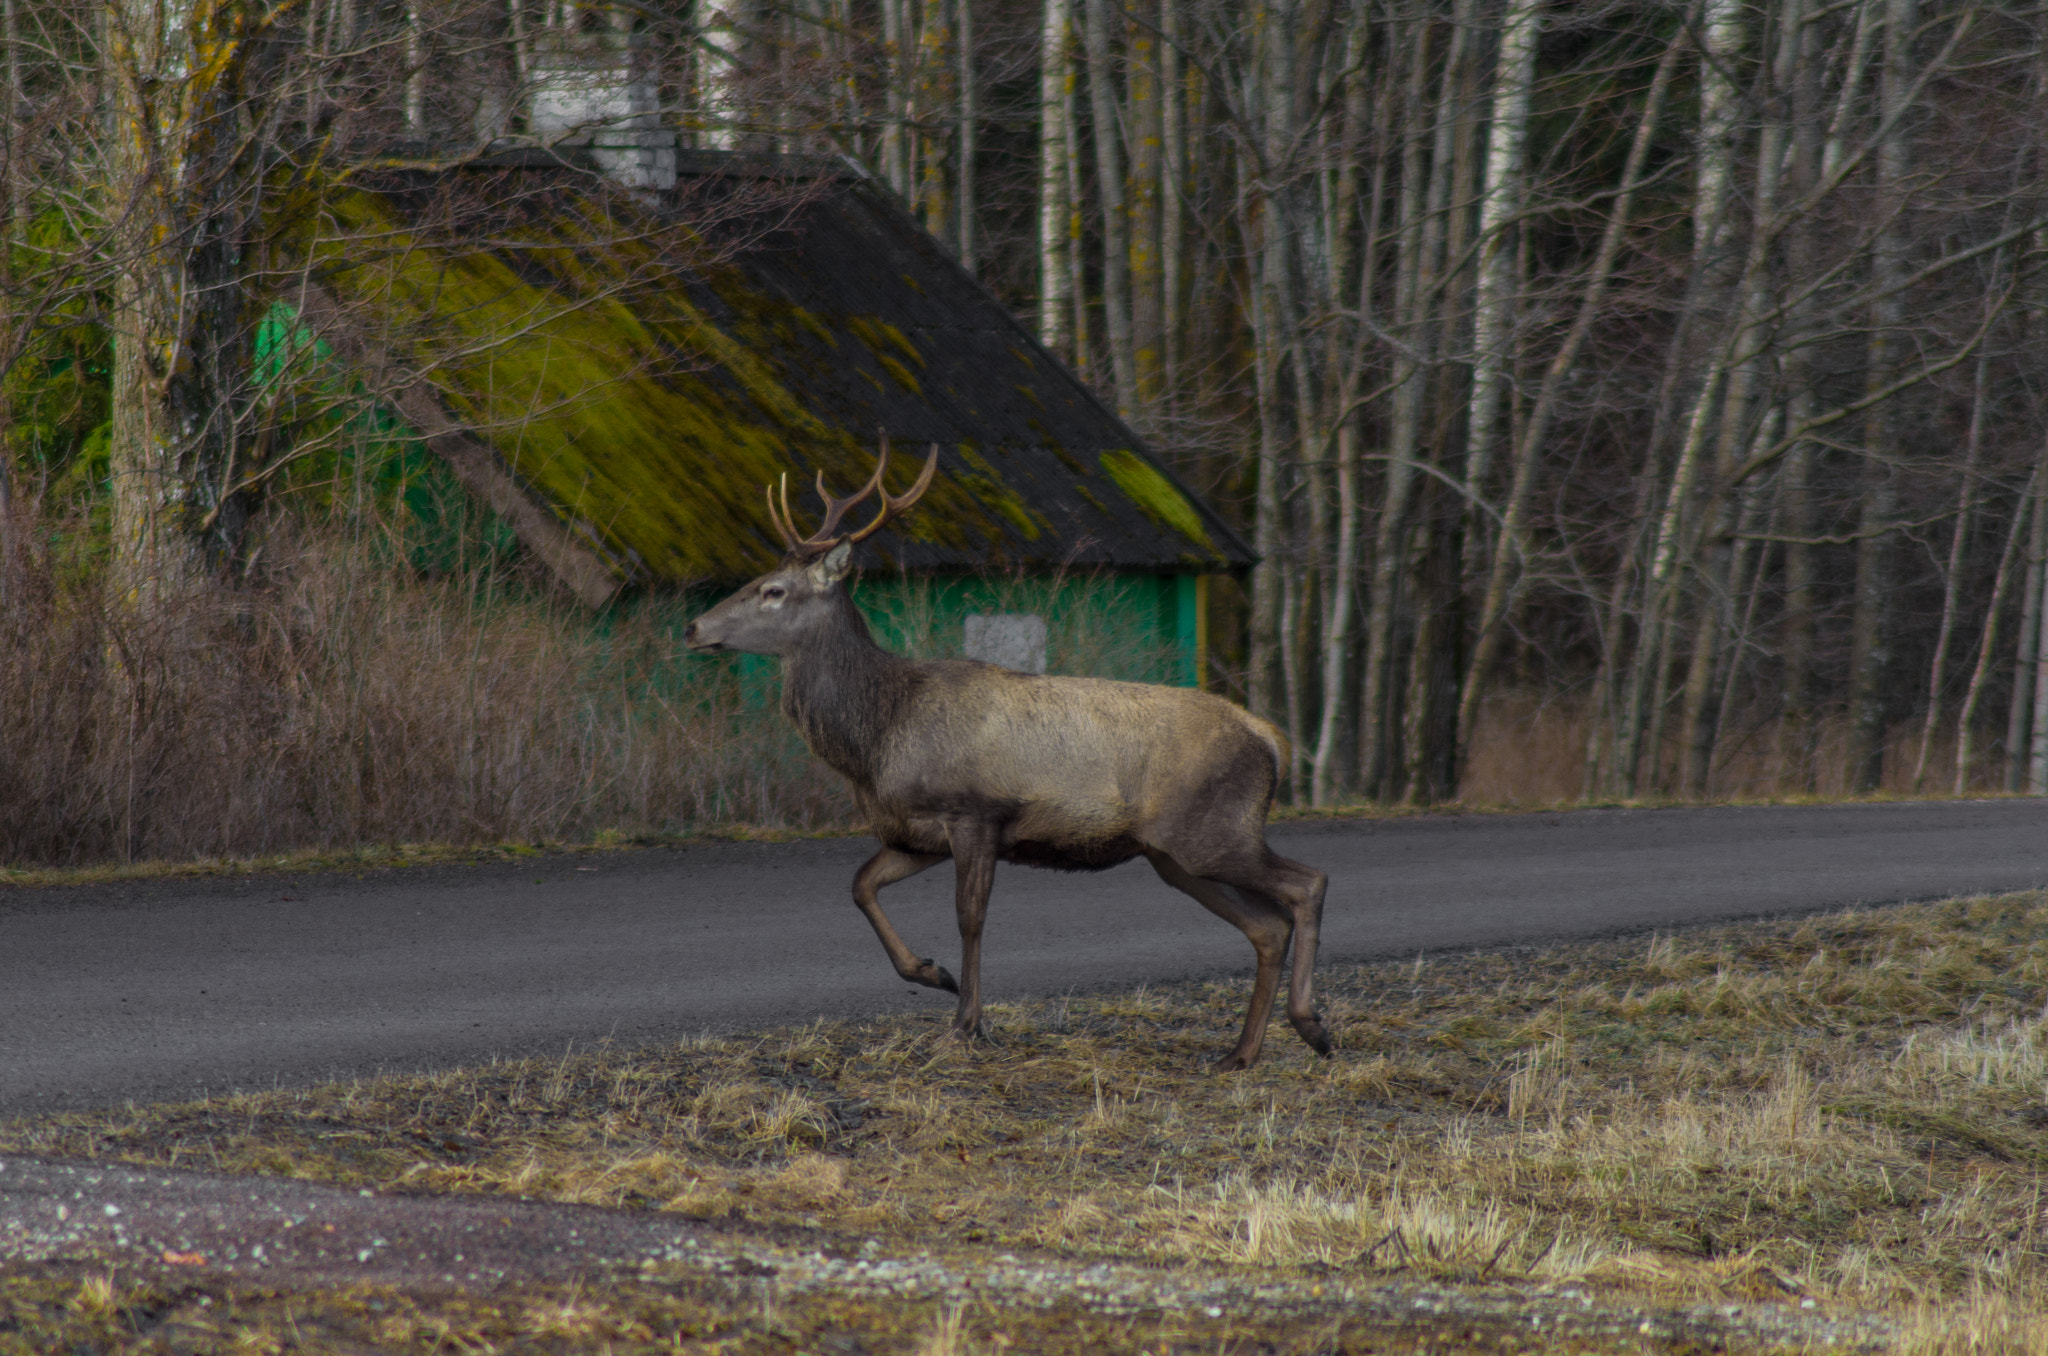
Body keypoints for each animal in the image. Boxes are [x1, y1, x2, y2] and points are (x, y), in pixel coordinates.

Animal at [682, 441, 1333, 1071]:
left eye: (774, 591)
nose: (693, 626)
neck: (881, 736)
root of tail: (1270, 738)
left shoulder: (975, 811)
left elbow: (970, 916)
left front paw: (966, 1023)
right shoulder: (914, 833)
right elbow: (861, 885)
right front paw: (933, 974)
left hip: (1211, 831)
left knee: (1308, 883)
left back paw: (1310, 1025)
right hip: (1175, 855)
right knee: (1267, 927)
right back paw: (1240, 1054)